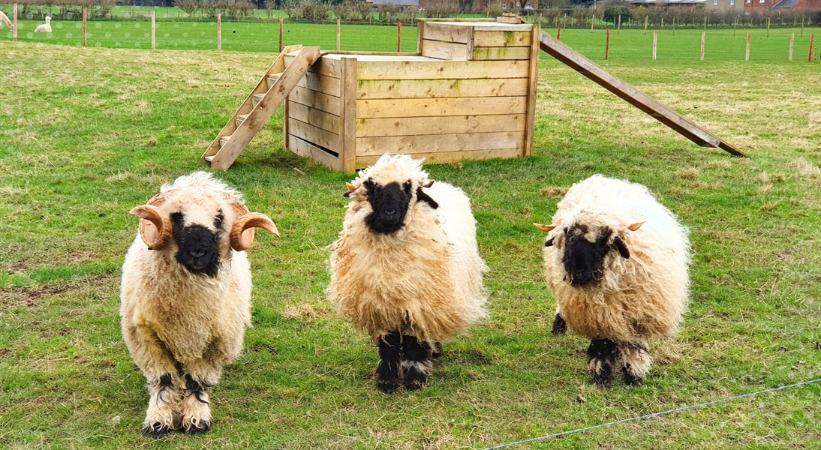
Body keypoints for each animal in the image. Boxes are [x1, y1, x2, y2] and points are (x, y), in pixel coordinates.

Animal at [119, 171, 278, 436]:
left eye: (219, 217)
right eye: (176, 216)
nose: (198, 253)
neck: (189, 306)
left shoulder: (213, 342)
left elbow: (197, 380)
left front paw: (196, 419)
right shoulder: (147, 338)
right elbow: (164, 379)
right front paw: (158, 420)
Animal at [328, 156, 486, 394]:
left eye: (408, 188)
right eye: (372, 187)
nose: (389, 214)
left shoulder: (419, 305)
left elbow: (415, 343)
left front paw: (415, 380)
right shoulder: (383, 306)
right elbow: (389, 345)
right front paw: (387, 381)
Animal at [536, 175, 688, 386]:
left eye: (603, 241)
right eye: (568, 238)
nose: (578, 273)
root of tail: (601, 178)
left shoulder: (638, 312)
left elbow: (634, 344)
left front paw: (634, 374)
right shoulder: (599, 315)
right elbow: (602, 344)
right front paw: (602, 375)